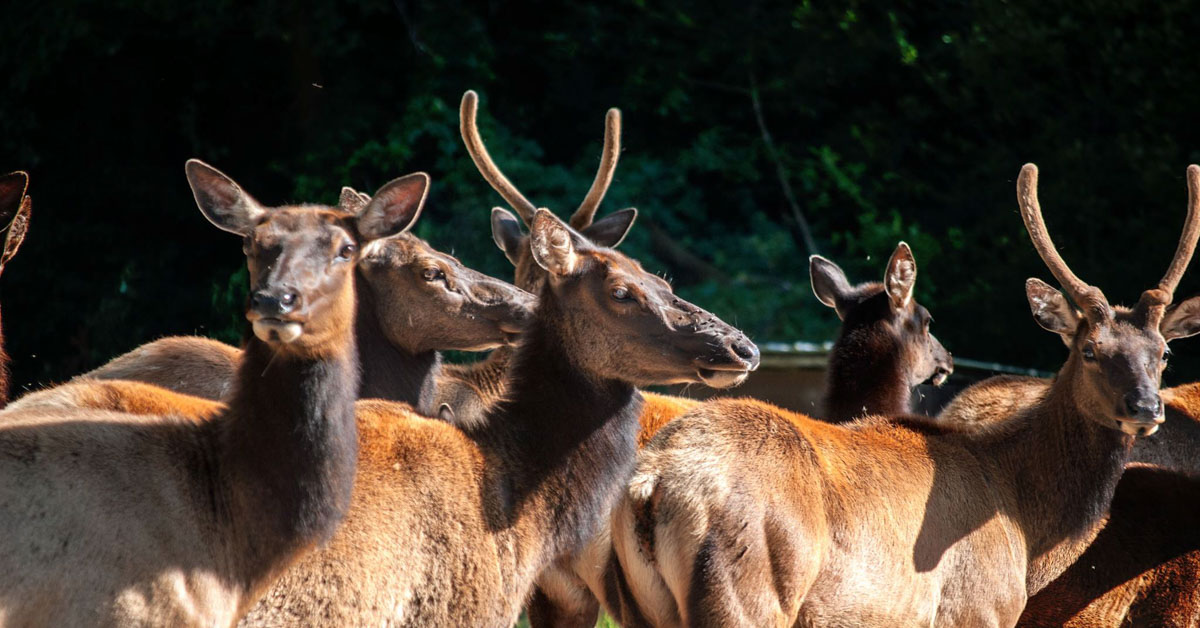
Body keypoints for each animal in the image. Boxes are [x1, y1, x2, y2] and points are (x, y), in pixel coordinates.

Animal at [608, 163, 1200, 627]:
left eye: (1164, 353)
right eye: (1090, 350)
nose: (1146, 407)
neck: (1026, 529)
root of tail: (649, 485)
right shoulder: (977, 611)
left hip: (639, 607)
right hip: (746, 596)